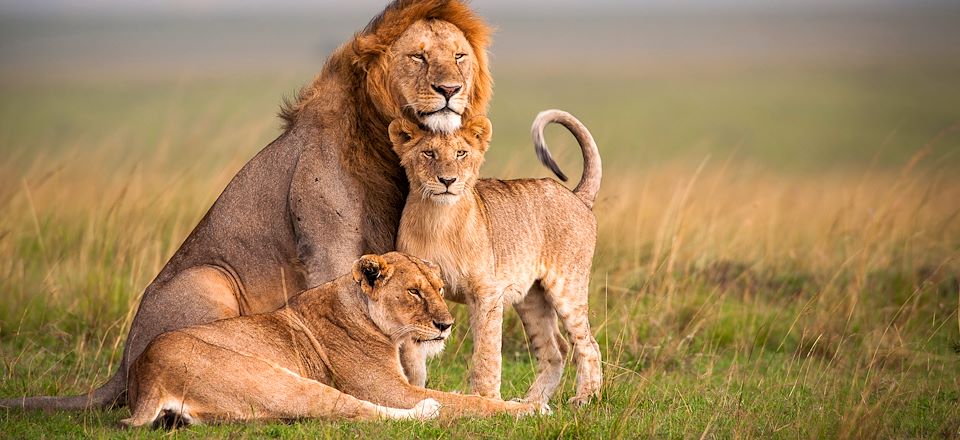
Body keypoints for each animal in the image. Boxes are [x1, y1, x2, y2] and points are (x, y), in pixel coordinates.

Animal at [0, 0, 496, 412]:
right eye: (418, 57)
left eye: (458, 57)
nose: (449, 89)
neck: (383, 142)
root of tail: (122, 366)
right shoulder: (329, 246)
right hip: (208, 279)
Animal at [122, 253, 540, 428]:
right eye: (414, 292)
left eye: (438, 288)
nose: (446, 324)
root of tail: (146, 374)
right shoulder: (389, 389)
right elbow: (467, 402)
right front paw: (526, 408)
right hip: (276, 379)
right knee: (355, 410)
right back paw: (427, 411)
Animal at [388, 110, 600, 406]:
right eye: (428, 153)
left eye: (461, 153)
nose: (447, 181)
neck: (438, 219)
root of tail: (576, 196)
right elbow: (411, 356)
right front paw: (415, 393)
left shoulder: (486, 292)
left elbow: (487, 352)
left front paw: (486, 398)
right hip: (531, 298)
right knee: (555, 349)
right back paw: (531, 403)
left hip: (568, 286)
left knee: (588, 344)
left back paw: (585, 397)